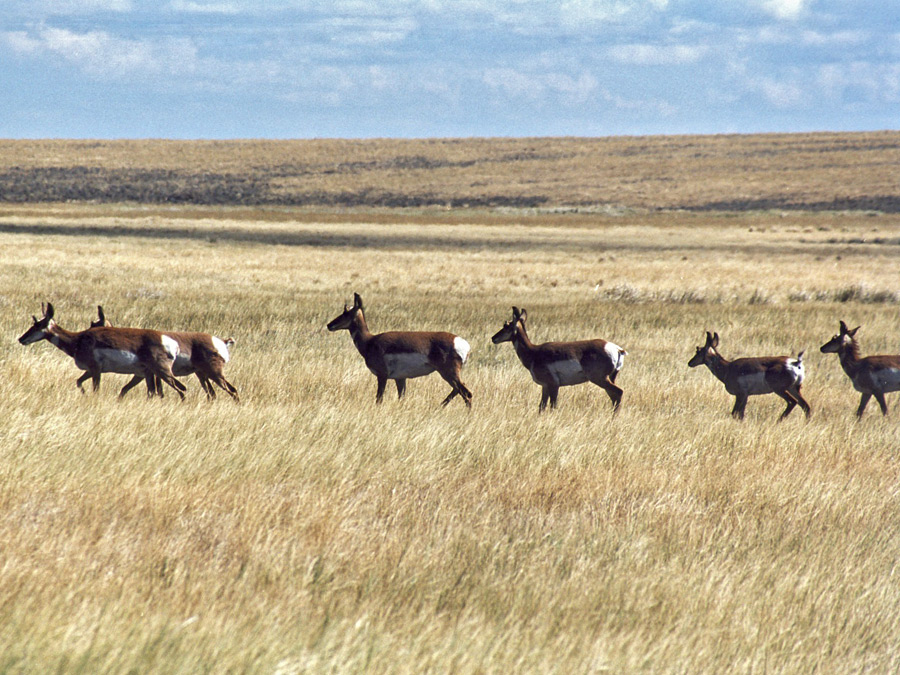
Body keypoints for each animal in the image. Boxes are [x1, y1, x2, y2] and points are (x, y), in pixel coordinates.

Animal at [19, 302, 186, 402]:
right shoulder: (90, 370)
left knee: (182, 390)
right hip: (151, 374)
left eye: (37, 325)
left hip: (162, 372)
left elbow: (96, 390)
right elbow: (78, 382)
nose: (21, 339)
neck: (78, 339)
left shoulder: (96, 370)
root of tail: (170, 341)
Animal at [89, 306, 239, 402]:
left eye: (94, 325)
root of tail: (222, 341)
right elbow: (125, 389)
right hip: (202, 374)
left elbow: (158, 392)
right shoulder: (143, 374)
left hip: (212, 373)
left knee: (231, 390)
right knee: (212, 394)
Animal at [326, 294, 474, 410]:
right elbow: (401, 398)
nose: (329, 325)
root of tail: (462, 343)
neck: (370, 341)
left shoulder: (382, 376)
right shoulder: (400, 378)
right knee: (459, 390)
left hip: (448, 373)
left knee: (466, 393)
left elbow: (379, 399)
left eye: (346, 312)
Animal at [492, 308, 624, 412]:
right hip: (608, 379)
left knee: (619, 392)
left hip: (600, 379)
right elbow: (542, 406)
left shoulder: (553, 385)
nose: (493, 338)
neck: (534, 352)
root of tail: (617, 349)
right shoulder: (545, 386)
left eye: (506, 326)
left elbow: (552, 406)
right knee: (614, 397)